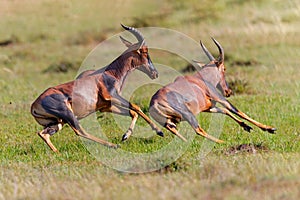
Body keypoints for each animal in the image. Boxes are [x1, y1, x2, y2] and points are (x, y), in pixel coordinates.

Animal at [30, 24, 163, 152]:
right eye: (145, 52)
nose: (155, 73)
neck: (109, 73)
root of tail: (33, 106)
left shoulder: (105, 106)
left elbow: (132, 112)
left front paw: (125, 136)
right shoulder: (112, 96)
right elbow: (136, 107)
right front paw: (159, 131)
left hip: (57, 122)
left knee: (43, 134)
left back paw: (57, 152)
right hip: (67, 114)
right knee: (80, 131)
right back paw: (113, 145)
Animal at [148, 38, 276, 142]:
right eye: (224, 68)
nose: (228, 91)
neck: (199, 79)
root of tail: (154, 103)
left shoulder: (209, 107)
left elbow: (225, 111)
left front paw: (247, 127)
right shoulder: (220, 99)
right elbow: (237, 111)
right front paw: (269, 128)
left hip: (170, 121)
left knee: (174, 130)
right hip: (188, 114)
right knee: (198, 130)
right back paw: (222, 142)